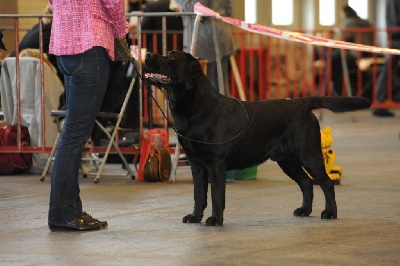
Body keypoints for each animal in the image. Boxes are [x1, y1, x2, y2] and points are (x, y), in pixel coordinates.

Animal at [145, 50, 372, 227]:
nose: (147, 54)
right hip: (287, 161)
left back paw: (330, 213)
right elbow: (198, 194)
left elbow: (217, 195)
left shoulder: (216, 163)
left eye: (171, 57)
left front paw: (215, 220)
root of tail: (301, 102)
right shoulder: (196, 164)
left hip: (309, 155)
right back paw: (304, 211)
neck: (197, 109)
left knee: (326, 183)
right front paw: (195, 217)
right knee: (307, 183)